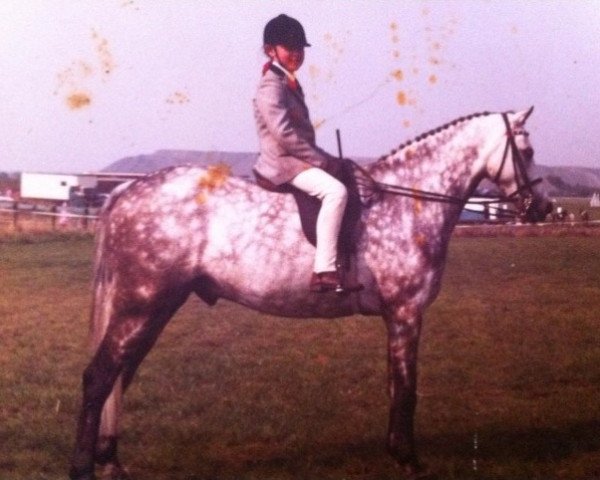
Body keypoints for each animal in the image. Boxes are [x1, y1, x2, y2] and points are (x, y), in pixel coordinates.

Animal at [69, 109, 548, 480]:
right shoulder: (407, 312)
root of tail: (126, 189)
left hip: (155, 307)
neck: (407, 202)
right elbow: (408, 387)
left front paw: (394, 451)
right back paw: (83, 467)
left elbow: (394, 385)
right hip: (141, 305)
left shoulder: (395, 317)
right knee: (100, 376)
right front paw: (409, 460)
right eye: (525, 152)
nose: (541, 209)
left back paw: (111, 462)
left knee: (121, 375)